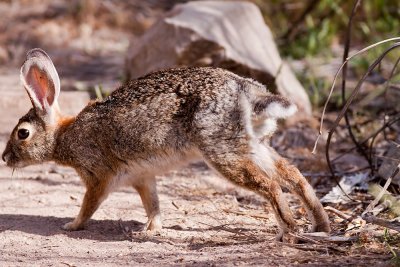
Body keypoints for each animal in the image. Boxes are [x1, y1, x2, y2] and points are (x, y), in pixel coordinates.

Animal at [1, 48, 330, 243]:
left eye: (22, 134)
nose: (4, 158)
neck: (63, 136)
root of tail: (251, 95)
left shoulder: (97, 177)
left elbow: (89, 205)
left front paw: (72, 225)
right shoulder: (143, 178)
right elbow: (153, 204)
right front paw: (150, 231)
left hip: (221, 150)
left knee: (270, 185)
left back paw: (289, 232)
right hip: (252, 145)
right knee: (294, 176)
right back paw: (321, 226)